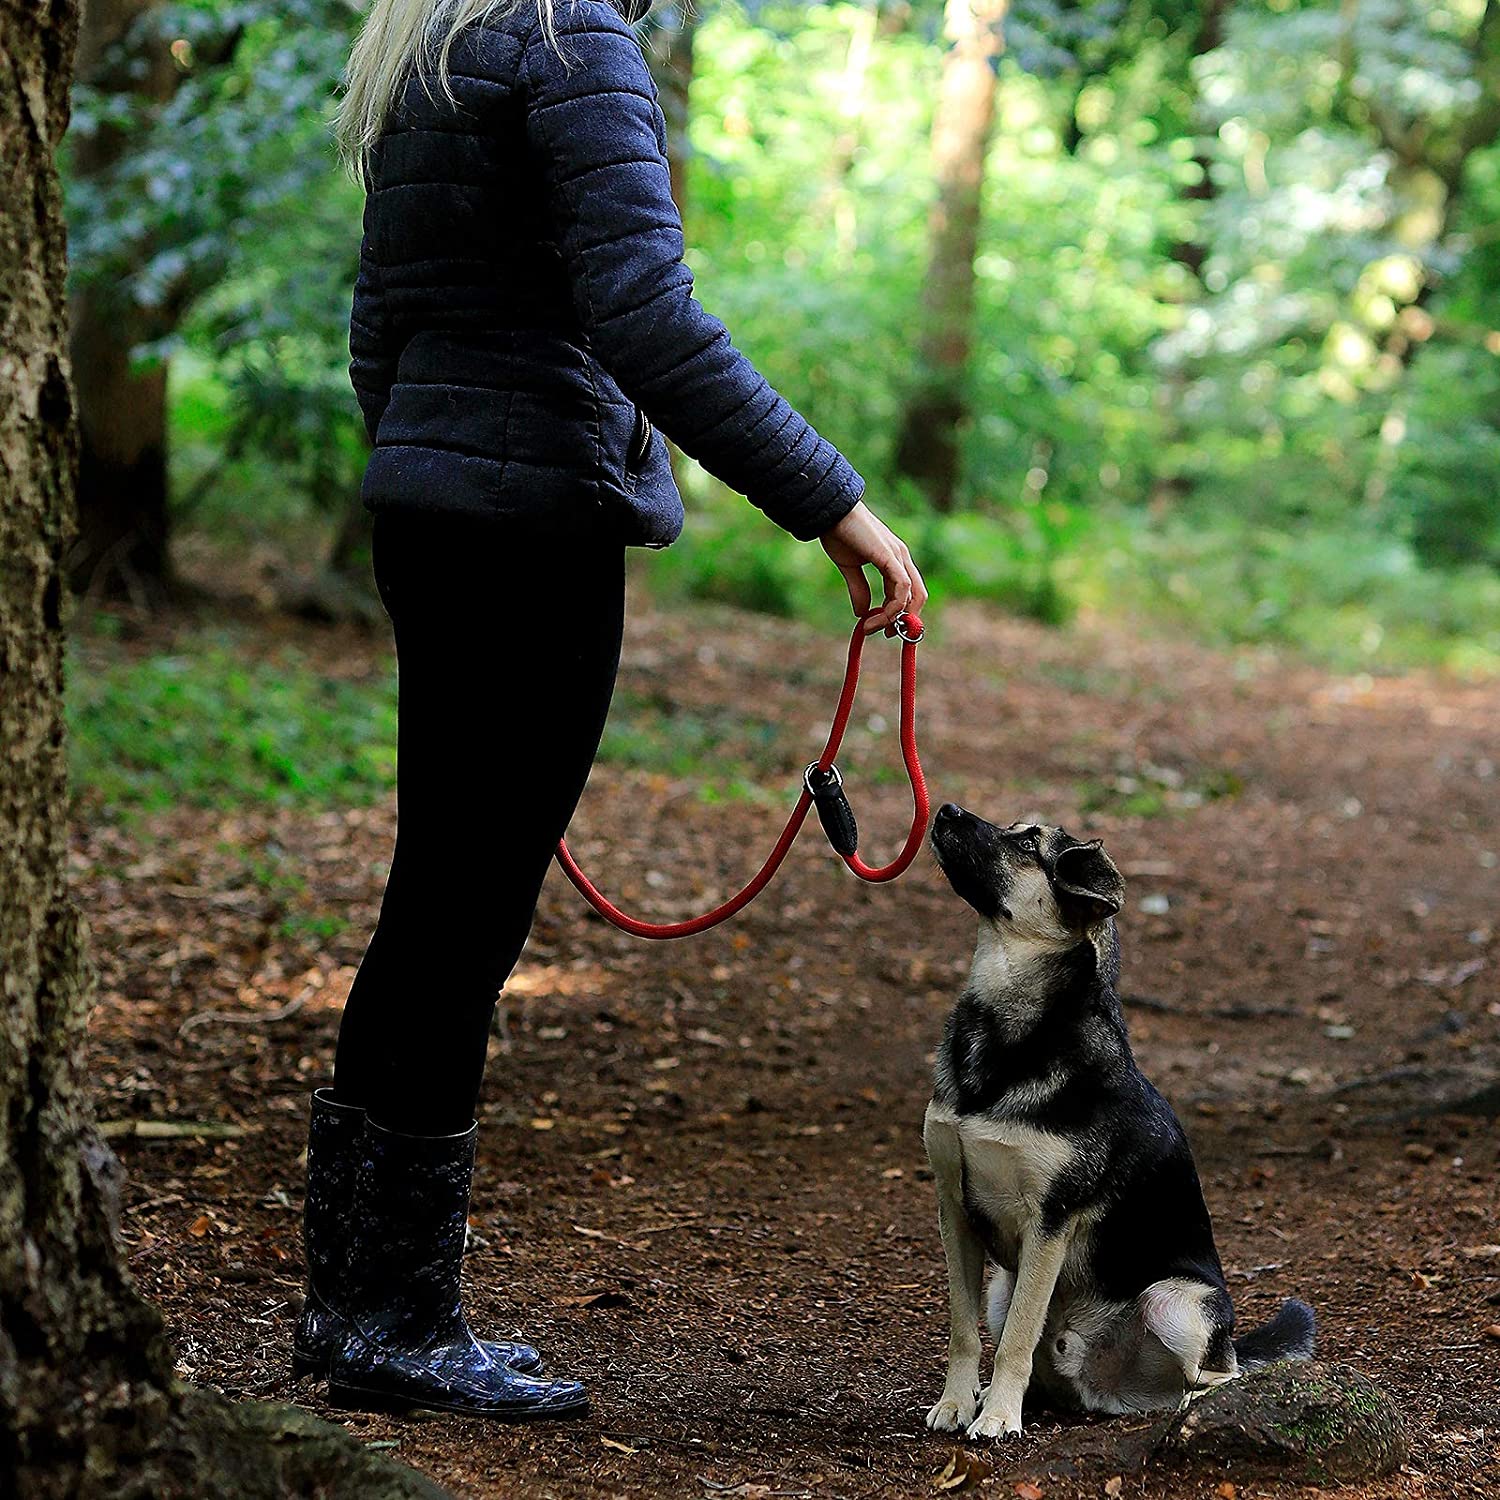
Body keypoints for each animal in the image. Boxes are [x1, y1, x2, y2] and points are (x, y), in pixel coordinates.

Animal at [924, 810, 1314, 1440]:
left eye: (1028, 842)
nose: (945, 810)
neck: (1011, 1024)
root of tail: (1101, 1384)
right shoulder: (953, 1208)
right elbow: (965, 1331)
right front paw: (959, 1402)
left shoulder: (1048, 1223)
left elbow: (1015, 1342)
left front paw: (999, 1417)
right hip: (1003, 1285)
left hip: (1175, 1302)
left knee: (1217, 1374)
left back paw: (1196, 1408)